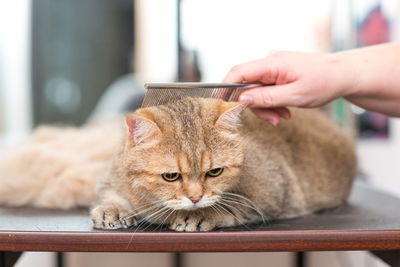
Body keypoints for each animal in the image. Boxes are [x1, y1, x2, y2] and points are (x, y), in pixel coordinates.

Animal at [0, 97, 356, 231]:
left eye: (215, 172)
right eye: (171, 176)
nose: (195, 197)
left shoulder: (270, 194)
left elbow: (231, 205)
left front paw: (200, 214)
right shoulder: (109, 177)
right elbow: (110, 195)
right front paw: (112, 210)